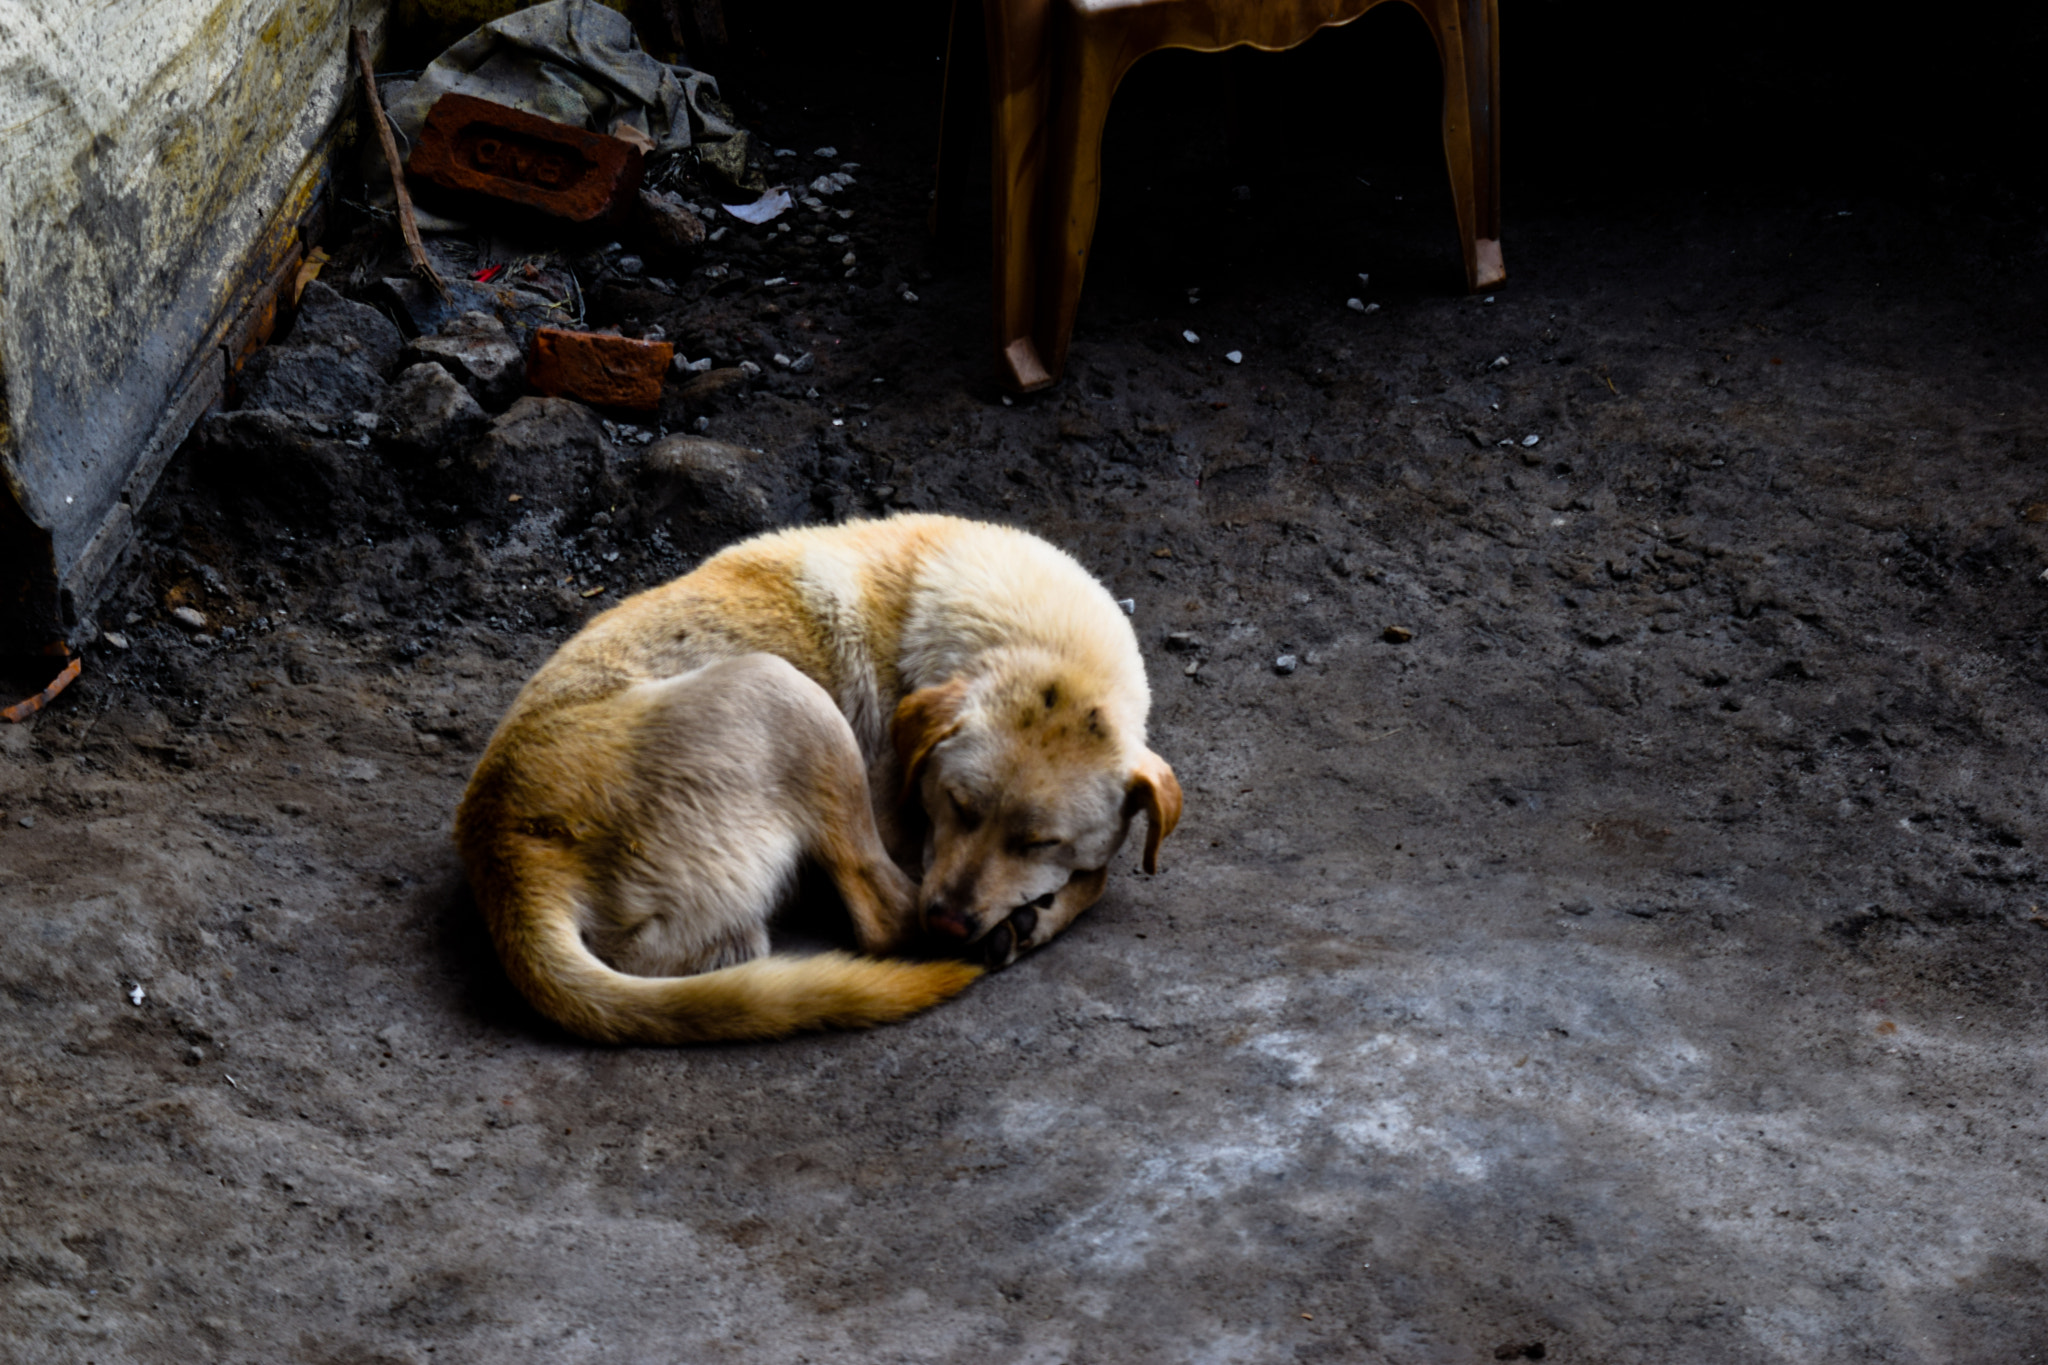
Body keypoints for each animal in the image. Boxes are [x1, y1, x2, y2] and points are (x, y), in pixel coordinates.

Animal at [454, 515, 1179, 1047]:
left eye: (1040, 842)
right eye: (956, 805)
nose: (949, 921)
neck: (1029, 637)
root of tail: (508, 860)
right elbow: (1100, 874)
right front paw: (1036, 911)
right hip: (786, 693)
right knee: (886, 920)